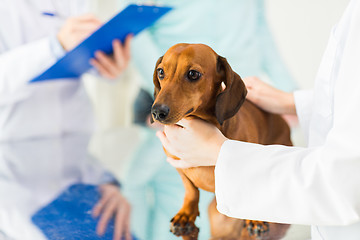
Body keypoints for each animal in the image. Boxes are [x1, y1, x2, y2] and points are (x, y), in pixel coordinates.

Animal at [150, 43, 292, 240]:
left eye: (193, 74)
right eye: (161, 72)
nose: (157, 112)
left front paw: (254, 218)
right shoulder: (178, 165)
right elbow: (191, 190)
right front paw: (186, 214)